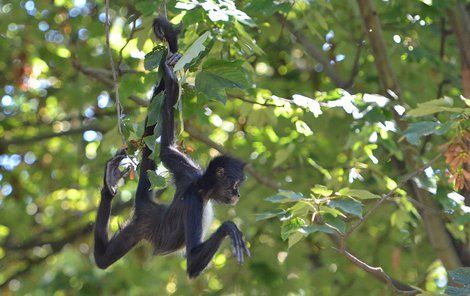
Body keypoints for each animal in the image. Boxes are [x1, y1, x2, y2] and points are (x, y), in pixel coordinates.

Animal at [93, 16, 252, 276]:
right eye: (235, 185)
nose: (237, 195)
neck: (201, 186)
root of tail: (150, 209)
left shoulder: (189, 171)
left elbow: (166, 147)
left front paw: (169, 75)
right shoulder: (194, 204)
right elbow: (193, 263)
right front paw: (229, 229)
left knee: (102, 259)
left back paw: (109, 185)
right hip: (140, 228)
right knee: (101, 260)